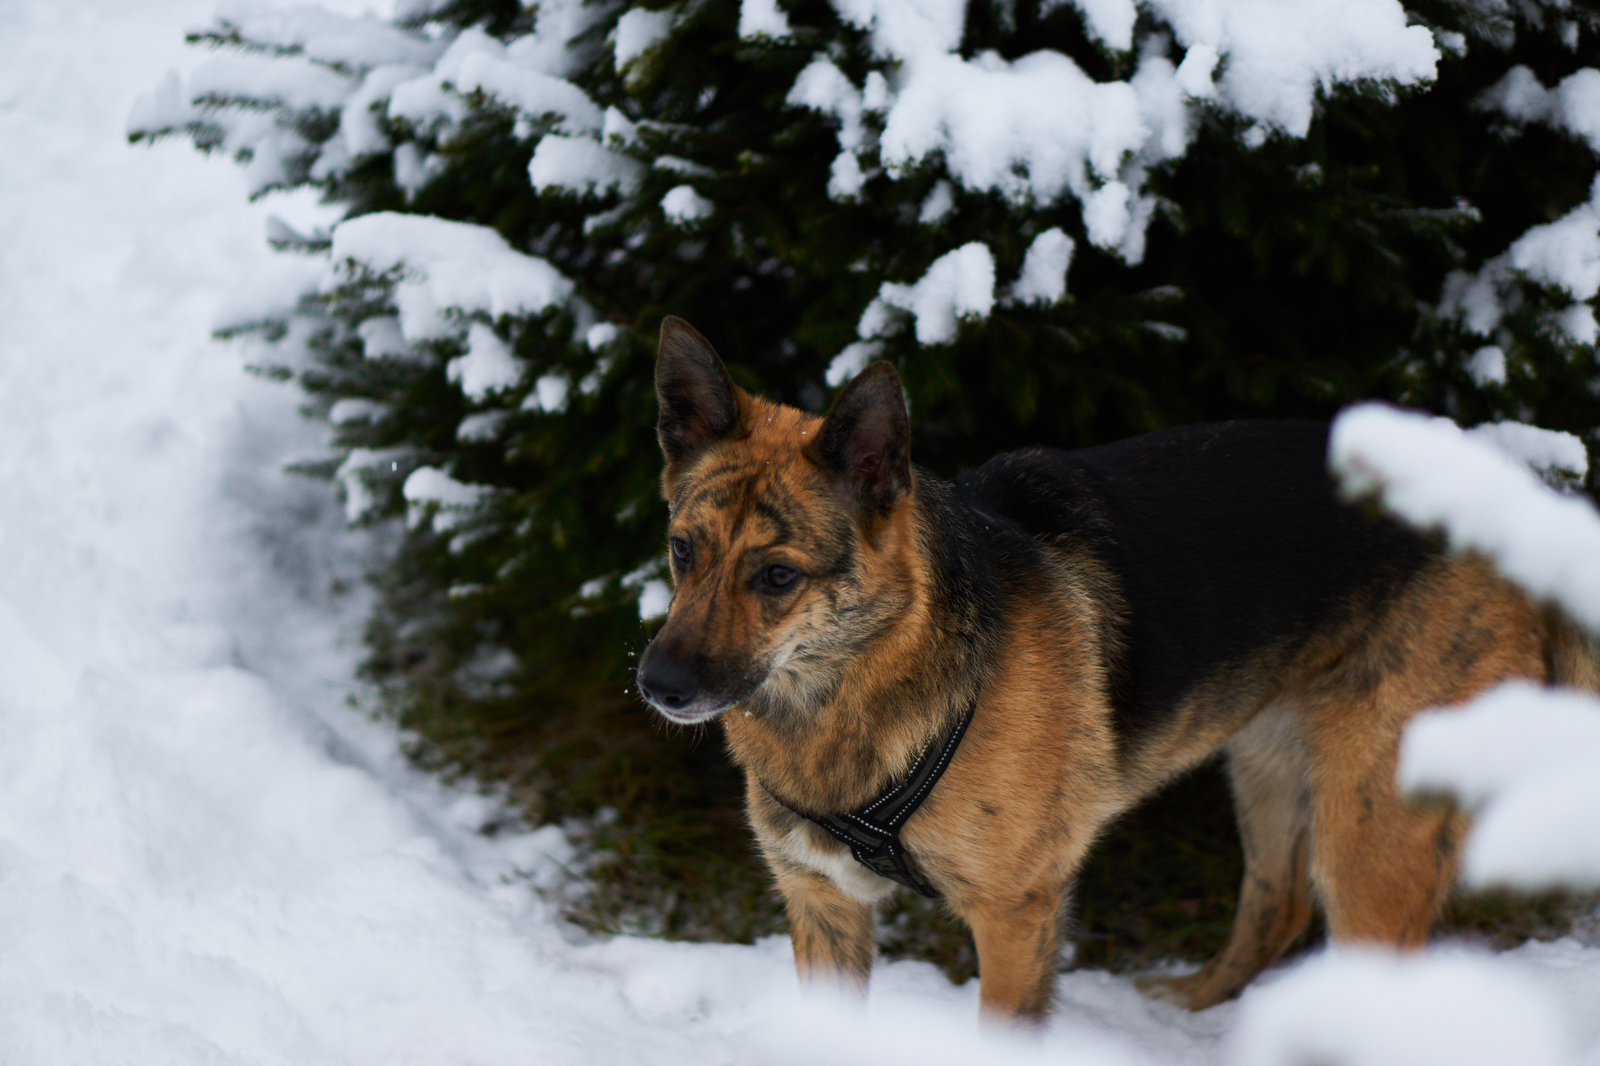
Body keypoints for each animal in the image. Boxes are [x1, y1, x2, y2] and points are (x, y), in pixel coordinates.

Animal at [630, 313, 1593, 1011]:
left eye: (778, 576)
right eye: (682, 551)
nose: (657, 688)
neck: (862, 686)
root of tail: (1499, 494)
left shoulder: (1015, 916)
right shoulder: (824, 904)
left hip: (1370, 832)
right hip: (1270, 761)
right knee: (1276, 904)